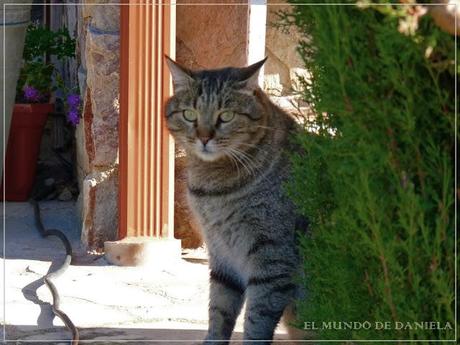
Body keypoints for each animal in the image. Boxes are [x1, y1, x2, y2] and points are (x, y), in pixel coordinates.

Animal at [165, 55, 306, 342]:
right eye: (189, 114)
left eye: (226, 116)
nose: (204, 137)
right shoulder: (221, 252)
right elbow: (219, 311)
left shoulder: (272, 257)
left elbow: (257, 319)